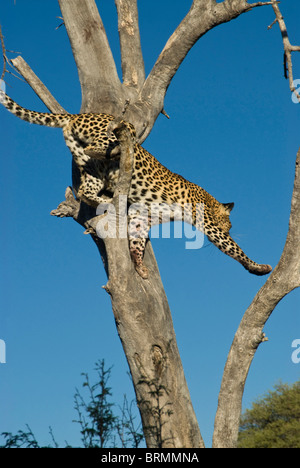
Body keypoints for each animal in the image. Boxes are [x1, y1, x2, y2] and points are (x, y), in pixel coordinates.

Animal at [0, 88, 272, 278]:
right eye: (228, 224)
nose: (229, 228)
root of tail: (79, 114)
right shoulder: (210, 225)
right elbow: (234, 248)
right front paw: (258, 267)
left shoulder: (142, 217)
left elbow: (137, 242)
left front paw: (140, 267)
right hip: (117, 129)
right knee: (101, 148)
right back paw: (114, 165)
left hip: (85, 162)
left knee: (85, 187)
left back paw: (107, 196)